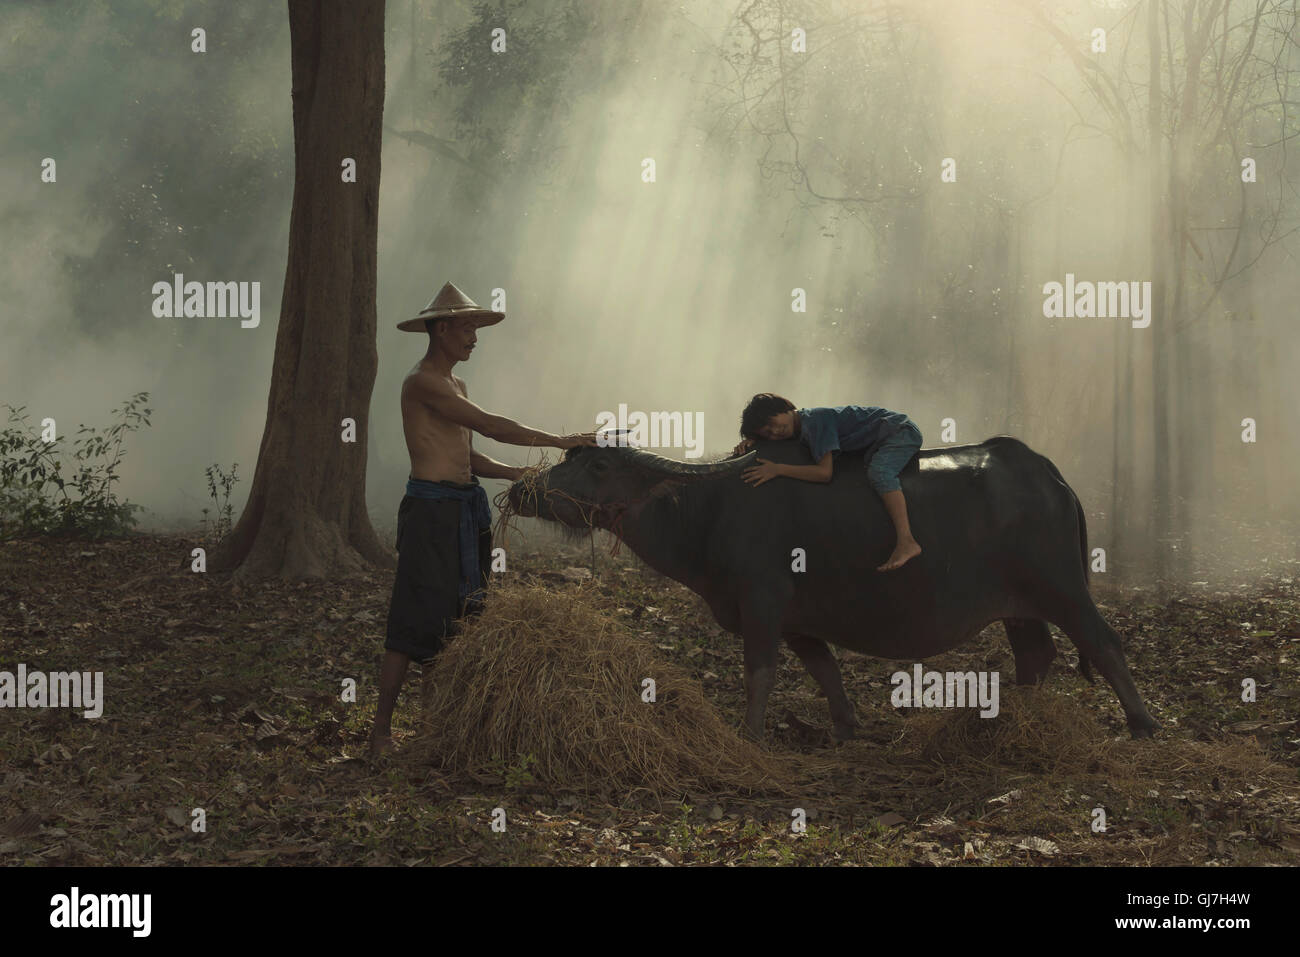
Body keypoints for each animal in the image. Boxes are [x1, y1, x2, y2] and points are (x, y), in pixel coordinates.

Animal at [506, 434, 1159, 738]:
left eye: (598, 466)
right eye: (571, 458)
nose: (521, 489)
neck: (710, 508)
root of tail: (1049, 475)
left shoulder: (763, 604)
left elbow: (760, 672)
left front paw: (750, 733)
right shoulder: (798, 621)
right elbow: (823, 668)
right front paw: (847, 725)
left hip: (1063, 588)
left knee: (1103, 643)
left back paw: (1143, 724)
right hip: (1021, 606)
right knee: (1037, 654)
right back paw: (1014, 717)